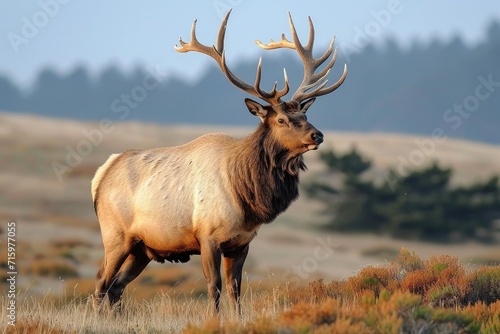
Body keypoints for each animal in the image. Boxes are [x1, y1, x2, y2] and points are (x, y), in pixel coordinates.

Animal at [91, 9, 348, 314]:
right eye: (282, 120)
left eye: (305, 115)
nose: (317, 135)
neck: (246, 195)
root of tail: (101, 175)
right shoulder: (208, 236)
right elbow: (213, 287)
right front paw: (213, 319)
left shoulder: (241, 243)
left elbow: (235, 290)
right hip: (115, 235)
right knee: (101, 282)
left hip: (142, 248)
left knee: (116, 287)